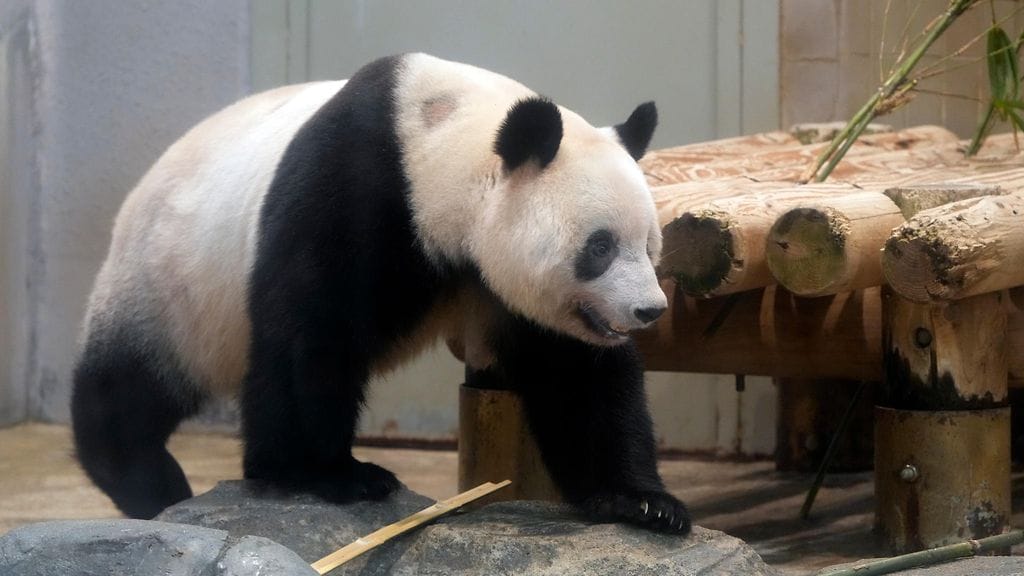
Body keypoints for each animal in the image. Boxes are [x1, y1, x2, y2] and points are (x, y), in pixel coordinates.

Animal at [71, 53, 689, 535]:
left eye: (650, 245)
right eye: (599, 247)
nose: (649, 310)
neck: (436, 142)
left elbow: (579, 377)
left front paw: (643, 504)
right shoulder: (355, 185)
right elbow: (310, 333)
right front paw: (323, 474)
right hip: (168, 286)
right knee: (128, 388)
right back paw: (147, 478)